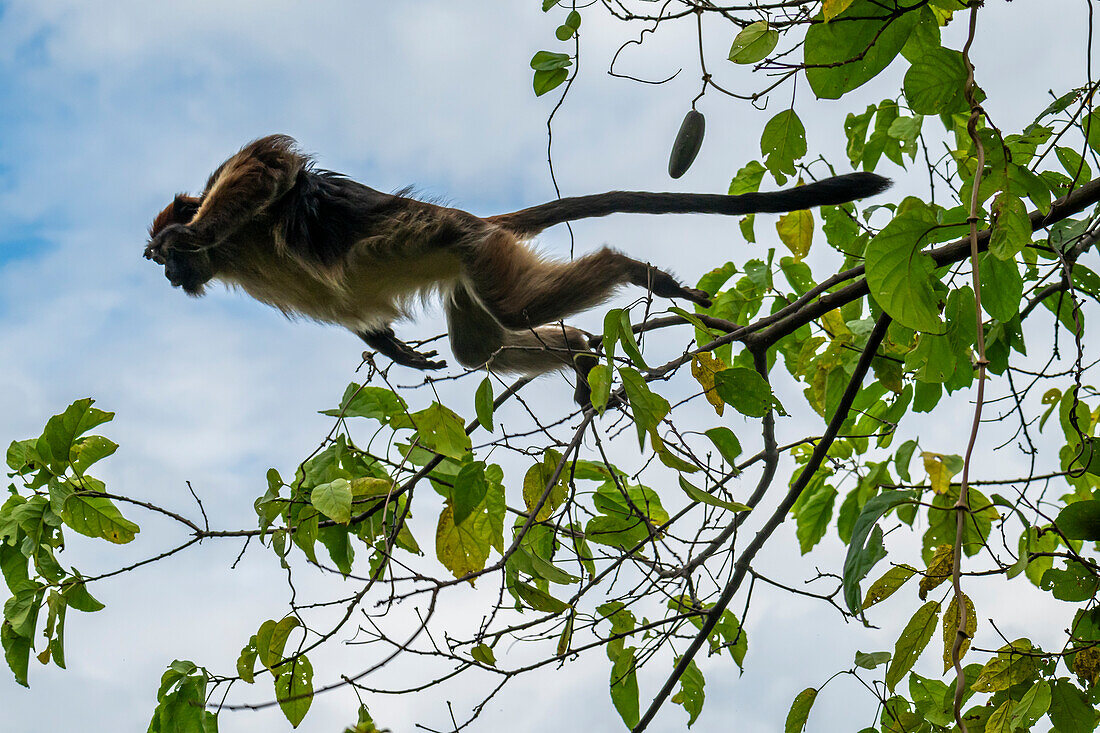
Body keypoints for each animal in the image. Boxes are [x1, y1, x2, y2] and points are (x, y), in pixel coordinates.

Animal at [144, 135, 884, 405]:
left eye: (167, 260)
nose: (169, 275)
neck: (231, 253)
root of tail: (478, 223)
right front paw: (390, 345)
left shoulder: (237, 191)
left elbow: (268, 161)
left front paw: (190, 231)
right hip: (470, 272)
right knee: (482, 342)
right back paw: (582, 351)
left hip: (473, 251)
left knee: (515, 313)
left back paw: (630, 272)